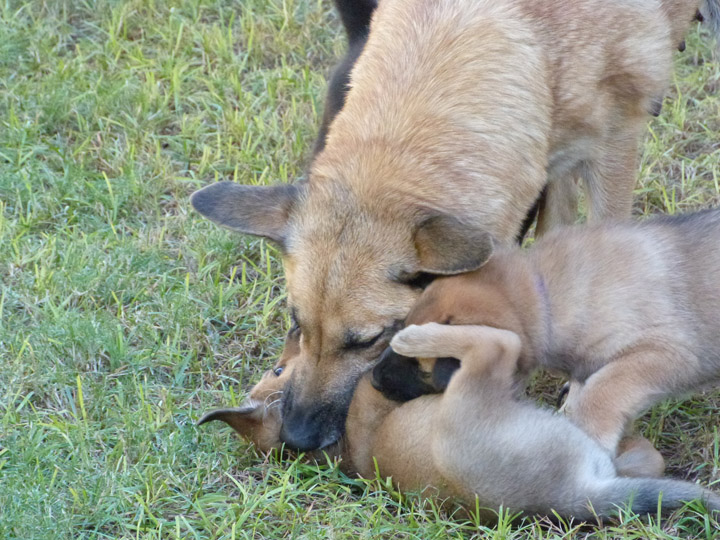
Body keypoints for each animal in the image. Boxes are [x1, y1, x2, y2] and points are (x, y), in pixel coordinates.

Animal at [197, 324, 720, 520]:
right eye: (278, 370)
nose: (294, 328)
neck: (340, 444)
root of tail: (575, 497)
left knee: (648, 461)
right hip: (476, 386)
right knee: (498, 343)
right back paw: (417, 335)